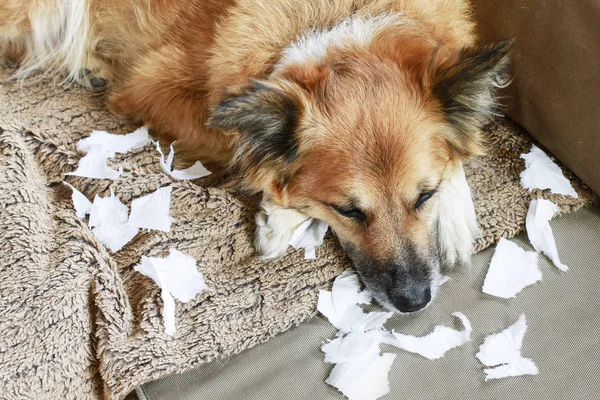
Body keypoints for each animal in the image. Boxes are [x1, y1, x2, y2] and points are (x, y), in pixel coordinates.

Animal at [1, 0, 510, 312]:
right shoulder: (149, 88)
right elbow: (245, 149)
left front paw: (456, 213)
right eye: (346, 210)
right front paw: (279, 217)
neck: (339, 24)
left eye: (424, 196)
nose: (415, 301)